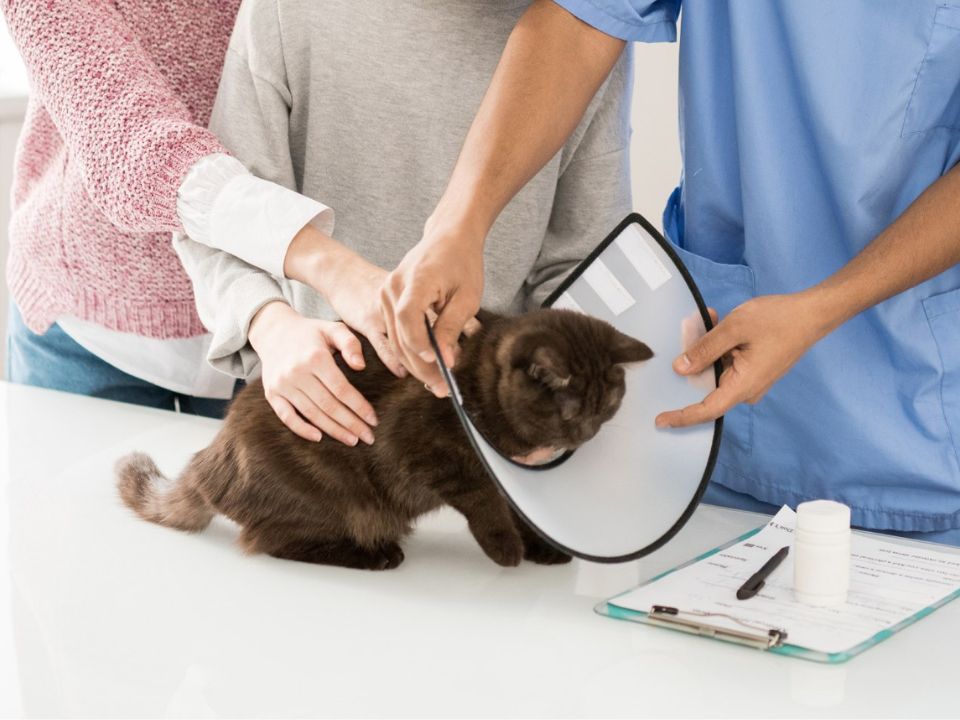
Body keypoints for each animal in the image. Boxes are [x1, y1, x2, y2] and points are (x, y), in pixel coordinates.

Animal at [114, 308, 652, 568]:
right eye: (571, 407)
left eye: (607, 404)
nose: (587, 432)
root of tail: (212, 456)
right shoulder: (423, 447)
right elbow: (484, 500)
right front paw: (506, 549)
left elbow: (522, 511)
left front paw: (540, 545)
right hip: (338, 499)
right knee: (269, 540)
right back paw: (376, 555)